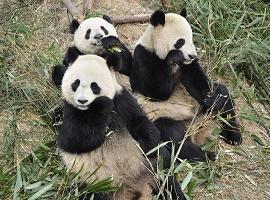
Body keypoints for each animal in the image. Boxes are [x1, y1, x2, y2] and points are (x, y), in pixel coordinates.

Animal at [53, 54, 189, 199]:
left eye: (94, 86)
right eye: (76, 83)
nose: (82, 101)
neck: (88, 110)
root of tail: (136, 188)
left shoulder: (122, 99)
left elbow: (138, 121)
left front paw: (149, 144)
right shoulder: (70, 110)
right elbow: (74, 140)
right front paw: (101, 105)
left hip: (151, 167)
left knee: (167, 176)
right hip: (93, 186)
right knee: (86, 194)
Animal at [129, 9, 243, 150]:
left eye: (192, 38)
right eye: (180, 41)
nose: (193, 55)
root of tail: (195, 125)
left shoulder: (188, 66)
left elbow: (199, 83)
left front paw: (211, 98)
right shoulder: (143, 55)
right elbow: (155, 91)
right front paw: (174, 57)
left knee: (225, 101)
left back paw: (234, 137)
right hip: (164, 115)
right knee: (175, 137)